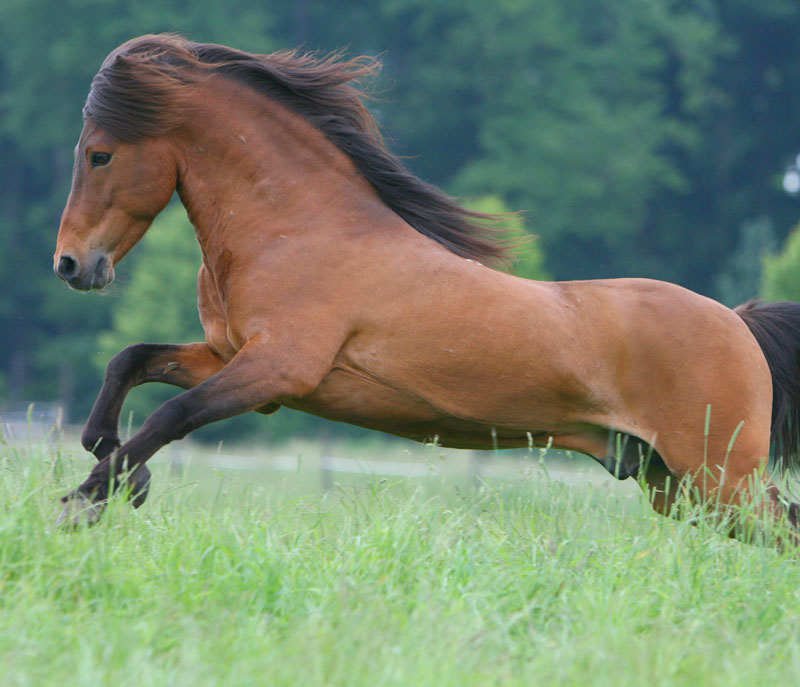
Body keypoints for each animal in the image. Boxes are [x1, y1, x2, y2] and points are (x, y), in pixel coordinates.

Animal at [54, 35, 800, 540]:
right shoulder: (230, 357)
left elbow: (170, 415)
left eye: (100, 154)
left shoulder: (278, 369)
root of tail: (737, 322)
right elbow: (130, 363)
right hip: (672, 483)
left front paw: (89, 497)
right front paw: (113, 465)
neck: (298, 227)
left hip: (720, 478)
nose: (71, 265)